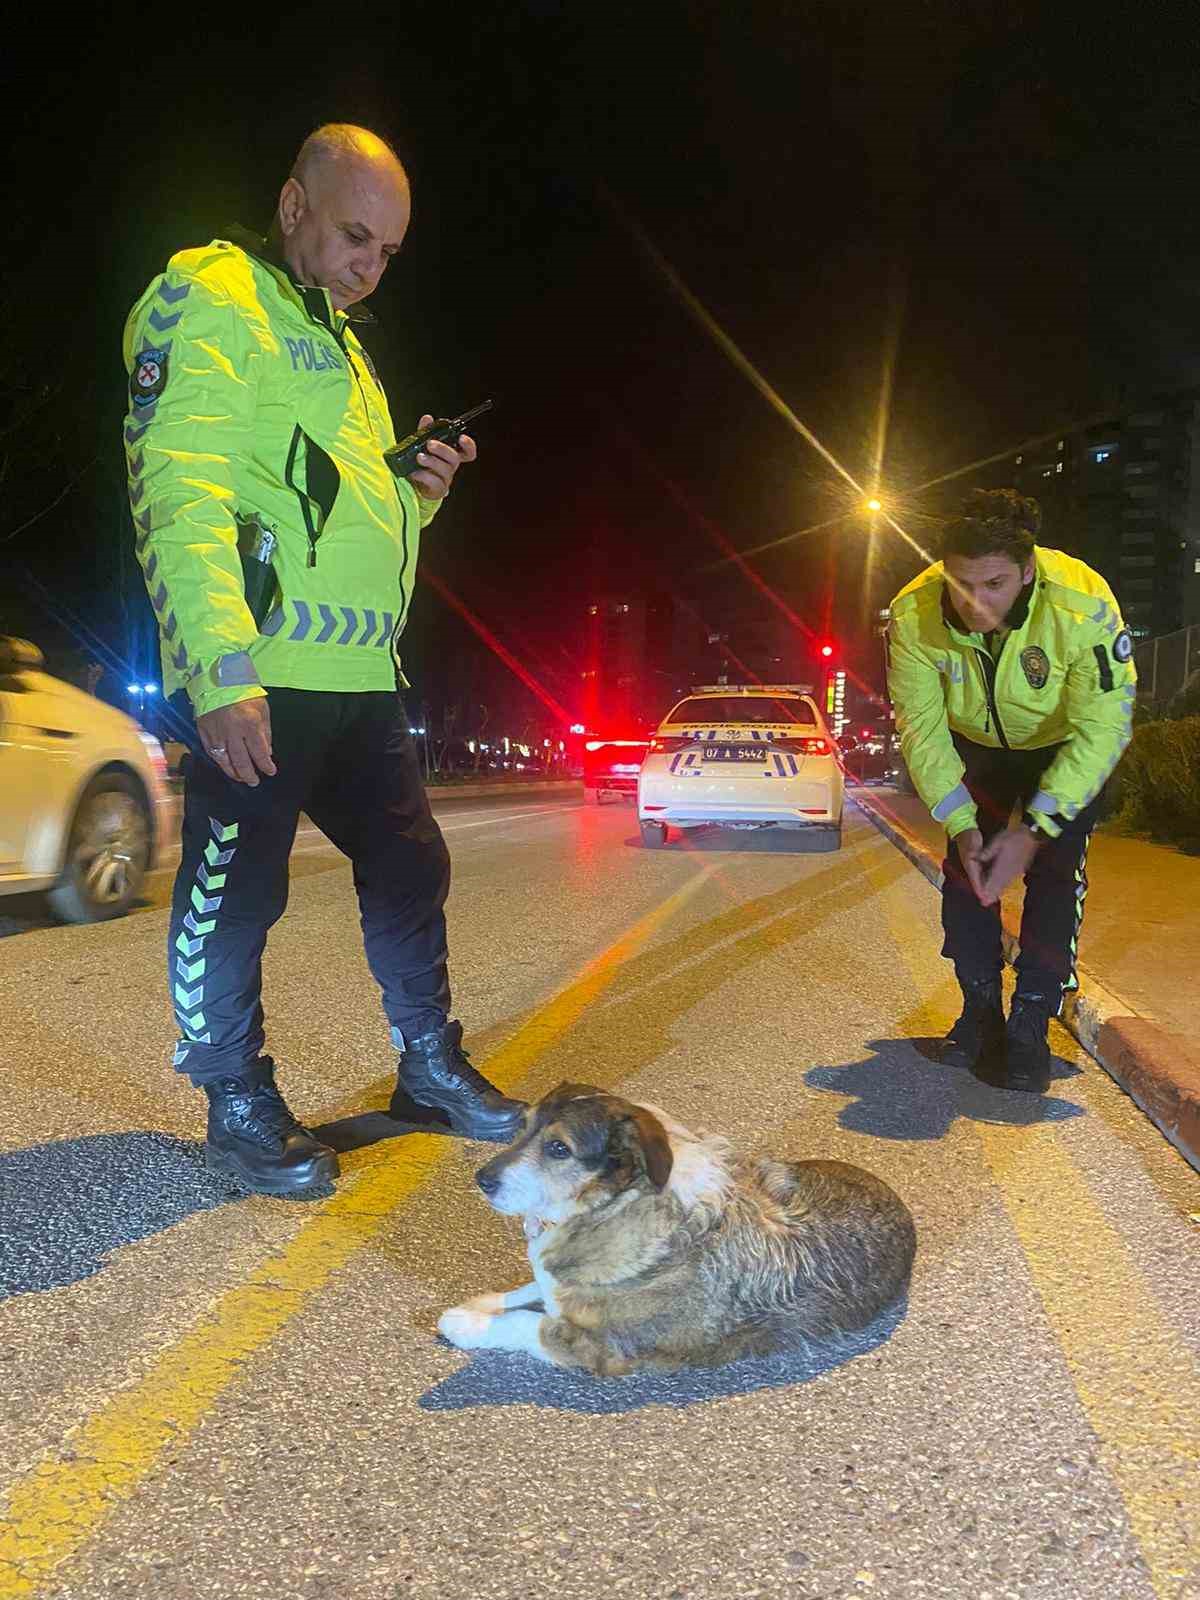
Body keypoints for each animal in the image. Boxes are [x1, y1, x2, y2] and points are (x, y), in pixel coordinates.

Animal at [441, 1088, 921, 1376]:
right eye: (522, 1128)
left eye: (559, 1148)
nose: (482, 1179)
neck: (614, 1206)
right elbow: (527, 1290)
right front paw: (481, 1304)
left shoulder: (602, 1347)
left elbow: (527, 1323)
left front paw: (466, 1323)